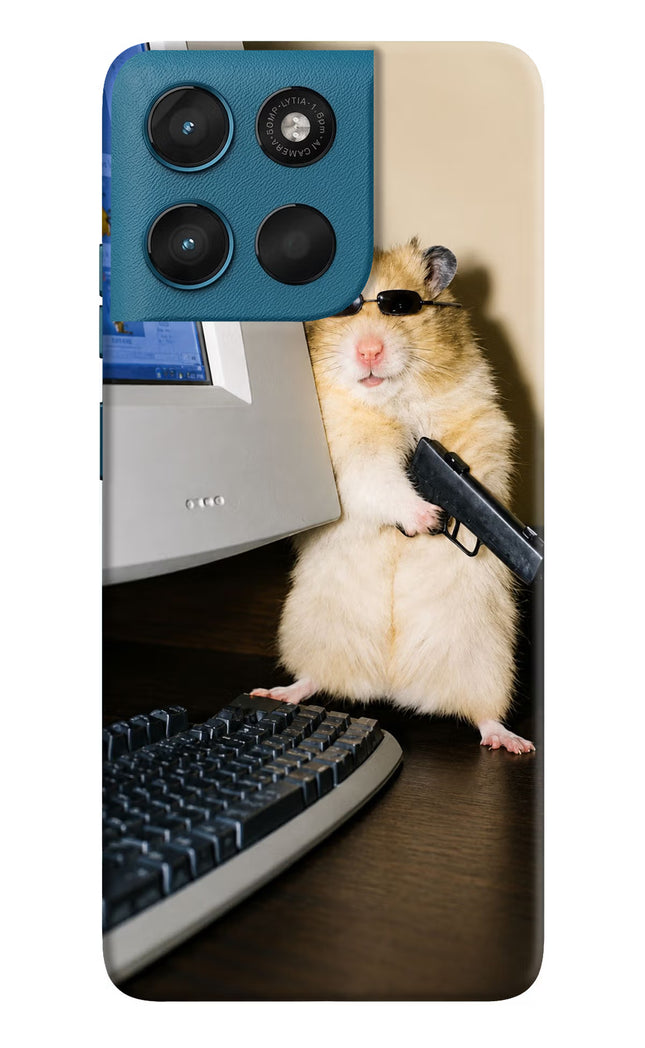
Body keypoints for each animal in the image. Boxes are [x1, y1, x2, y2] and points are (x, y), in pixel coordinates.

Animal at [252, 240, 534, 754]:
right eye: (344, 310)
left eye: (401, 307)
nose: (369, 350)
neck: (390, 400)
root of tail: (392, 686)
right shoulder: (348, 457)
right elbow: (380, 481)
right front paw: (428, 518)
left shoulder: (481, 424)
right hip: (311, 632)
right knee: (313, 678)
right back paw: (276, 692)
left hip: (488, 660)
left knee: (483, 714)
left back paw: (512, 742)